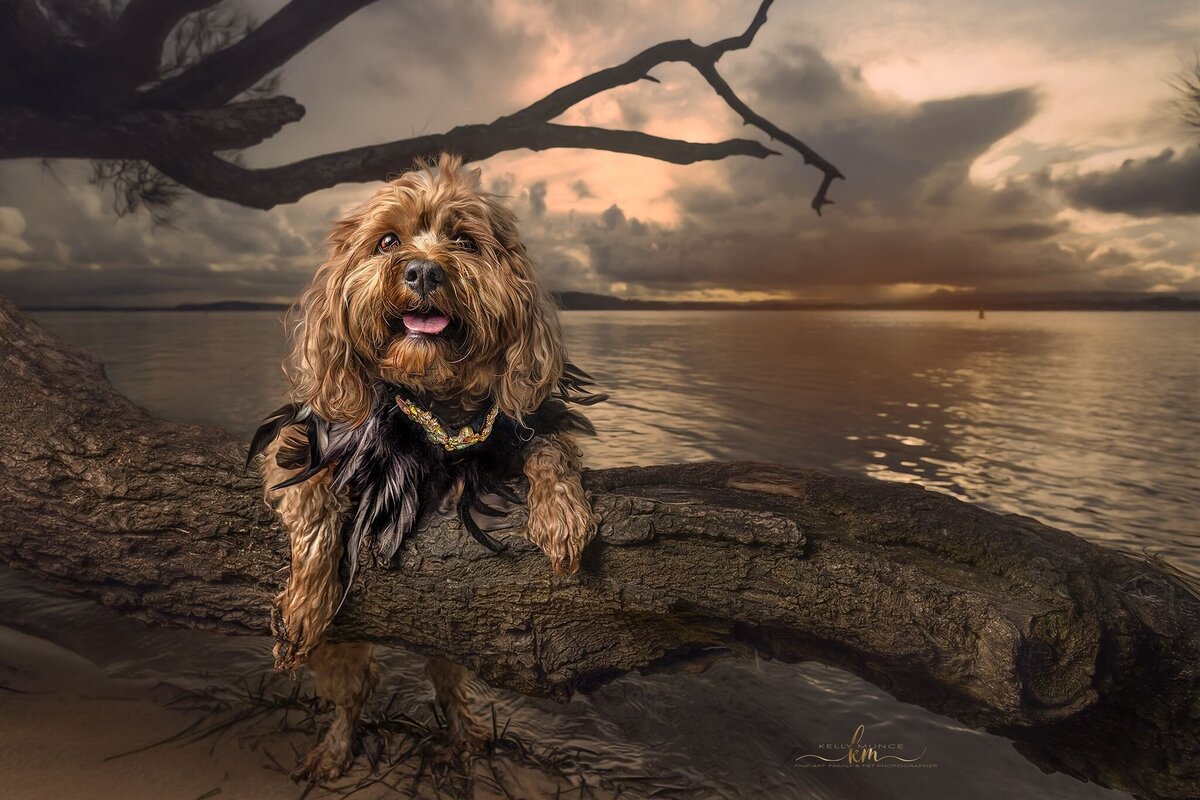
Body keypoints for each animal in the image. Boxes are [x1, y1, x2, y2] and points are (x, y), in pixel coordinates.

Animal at [246, 154, 600, 782]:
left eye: (465, 241)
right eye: (387, 241)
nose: (423, 272)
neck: (431, 403)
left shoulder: (515, 426)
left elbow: (550, 447)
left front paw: (562, 515)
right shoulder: (302, 435)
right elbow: (311, 498)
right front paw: (305, 600)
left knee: (448, 680)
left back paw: (466, 740)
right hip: (346, 655)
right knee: (354, 691)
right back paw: (334, 749)